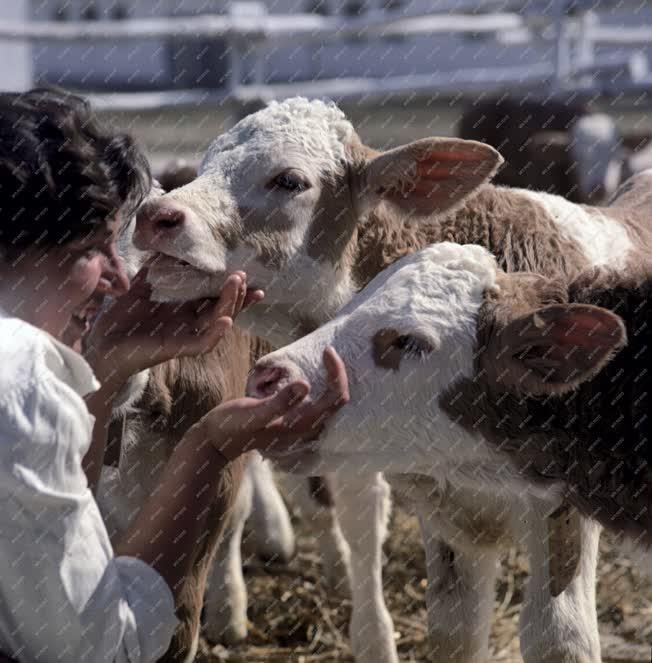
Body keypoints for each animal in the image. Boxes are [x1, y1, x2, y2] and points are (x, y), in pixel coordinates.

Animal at [132, 98, 652, 663]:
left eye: (289, 180)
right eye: (207, 162)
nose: (156, 217)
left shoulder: (561, 513)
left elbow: (559, 638)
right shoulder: (445, 517)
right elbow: (451, 630)